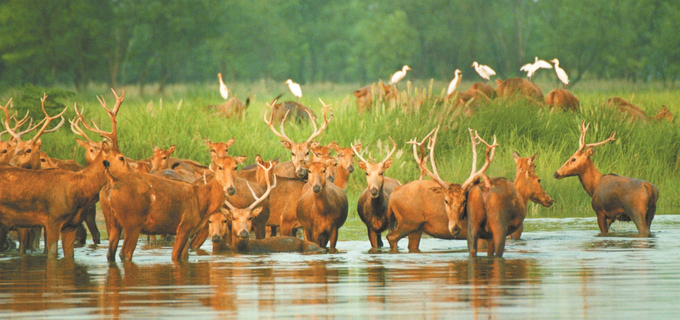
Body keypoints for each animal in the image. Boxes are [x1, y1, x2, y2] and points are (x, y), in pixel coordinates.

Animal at [0, 89, 131, 258]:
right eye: (121, 157)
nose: (135, 173)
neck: (77, 190)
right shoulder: (52, 220)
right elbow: (52, 254)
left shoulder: (70, 226)